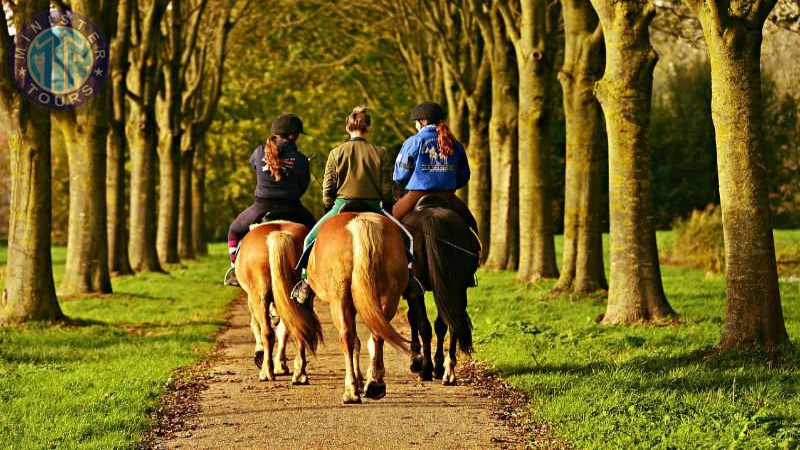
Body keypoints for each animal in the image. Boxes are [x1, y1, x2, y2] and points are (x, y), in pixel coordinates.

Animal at [234, 221, 322, 384]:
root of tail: (279, 235)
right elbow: (283, 331)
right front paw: (280, 365)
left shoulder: (251, 299)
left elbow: (256, 326)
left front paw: (261, 355)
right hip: (300, 298)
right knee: (299, 328)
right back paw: (300, 374)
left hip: (259, 297)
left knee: (267, 332)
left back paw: (266, 372)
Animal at [308, 212, 410, 404]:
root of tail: (361, 221)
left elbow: (355, 341)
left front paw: (358, 381)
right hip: (388, 297)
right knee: (378, 334)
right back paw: (375, 384)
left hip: (339, 299)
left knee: (346, 336)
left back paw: (351, 390)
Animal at [404, 195, 478, 384]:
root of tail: (431, 218)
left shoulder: (412, 291)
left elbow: (413, 319)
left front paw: (416, 361)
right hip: (456, 287)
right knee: (450, 323)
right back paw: (447, 371)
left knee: (425, 326)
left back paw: (426, 369)